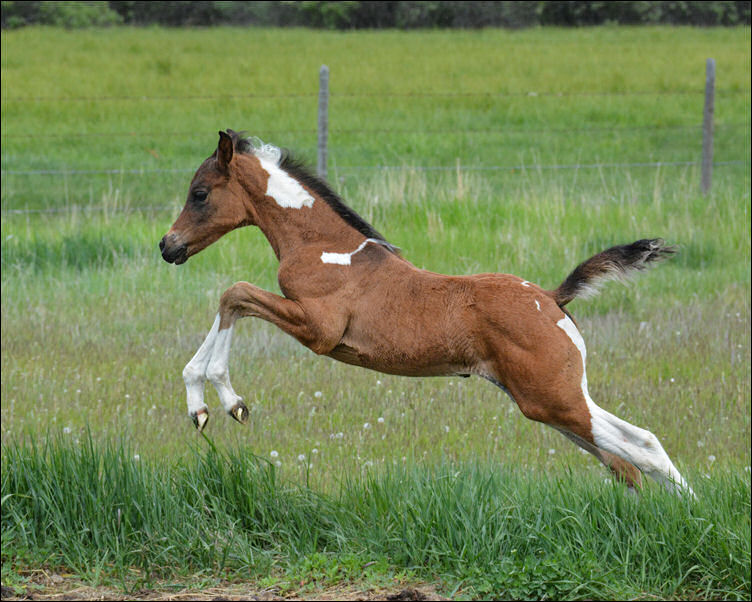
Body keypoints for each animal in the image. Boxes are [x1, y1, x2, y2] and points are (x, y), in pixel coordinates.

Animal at [159, 130, 692, 492]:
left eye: (200, 194)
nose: (168, 246)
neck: (324, 247)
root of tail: (552, 298)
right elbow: (233, 300)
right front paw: (205, 405)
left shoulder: (318, 329)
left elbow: (235, 294)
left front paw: (220, 401)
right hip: (550, 401)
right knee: (629, 458)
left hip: (552, 399)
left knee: (639, 449)